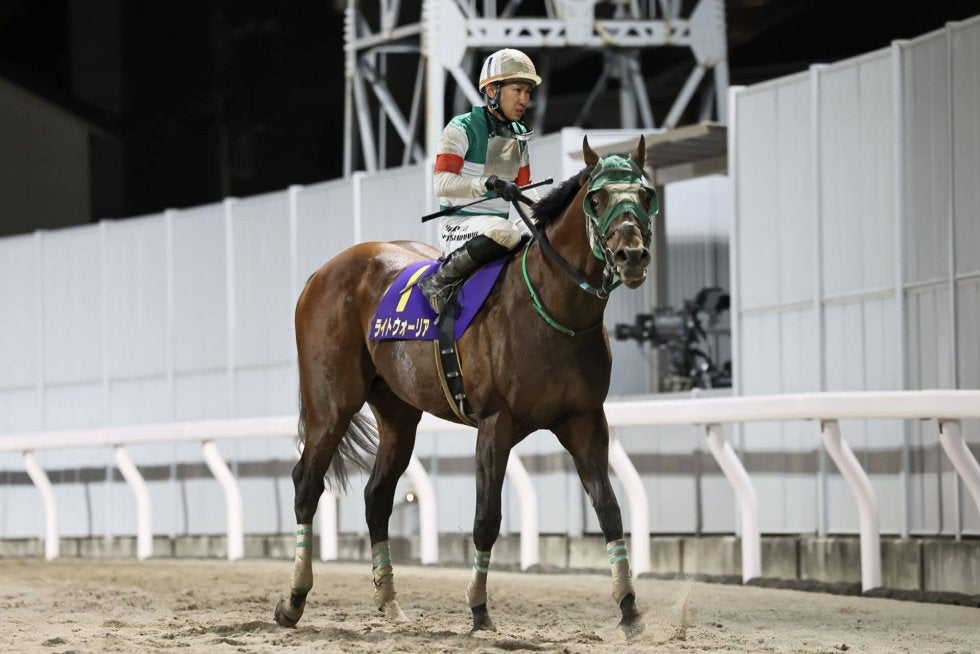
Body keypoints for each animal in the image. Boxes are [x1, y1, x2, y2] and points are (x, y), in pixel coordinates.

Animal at [274, 136, 655, 637]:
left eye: (647, 194)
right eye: (597, 198)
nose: (632, 256)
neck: (553, 307)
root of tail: (319, 274)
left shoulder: (585, 420)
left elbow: (610, 510)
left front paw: (630, 610)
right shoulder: (496, 423)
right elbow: (486, 518)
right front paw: (478, 609)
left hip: (398, 412)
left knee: (377, 495)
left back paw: (389, 603)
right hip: (332, 402)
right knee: (306, 483)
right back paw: (294, 600)